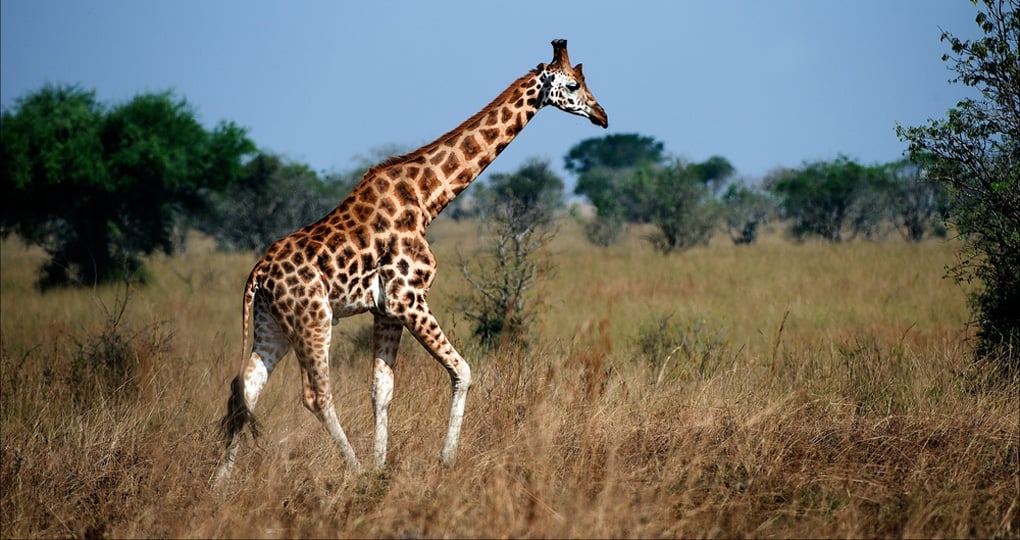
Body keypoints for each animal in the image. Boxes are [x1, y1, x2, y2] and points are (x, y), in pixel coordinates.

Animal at [214, 39, 607, 482]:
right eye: (572, 85)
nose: (602, 115)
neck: (428, 197)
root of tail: (258, 275)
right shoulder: (409, 297)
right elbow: (463, 371)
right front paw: (443, 460)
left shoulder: (385, 308)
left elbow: (381, 391)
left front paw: (382, 466)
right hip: (312, 318)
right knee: (315, 395)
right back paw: (353, 471)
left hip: (273, 326)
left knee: (246, 392)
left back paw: (219, 485)